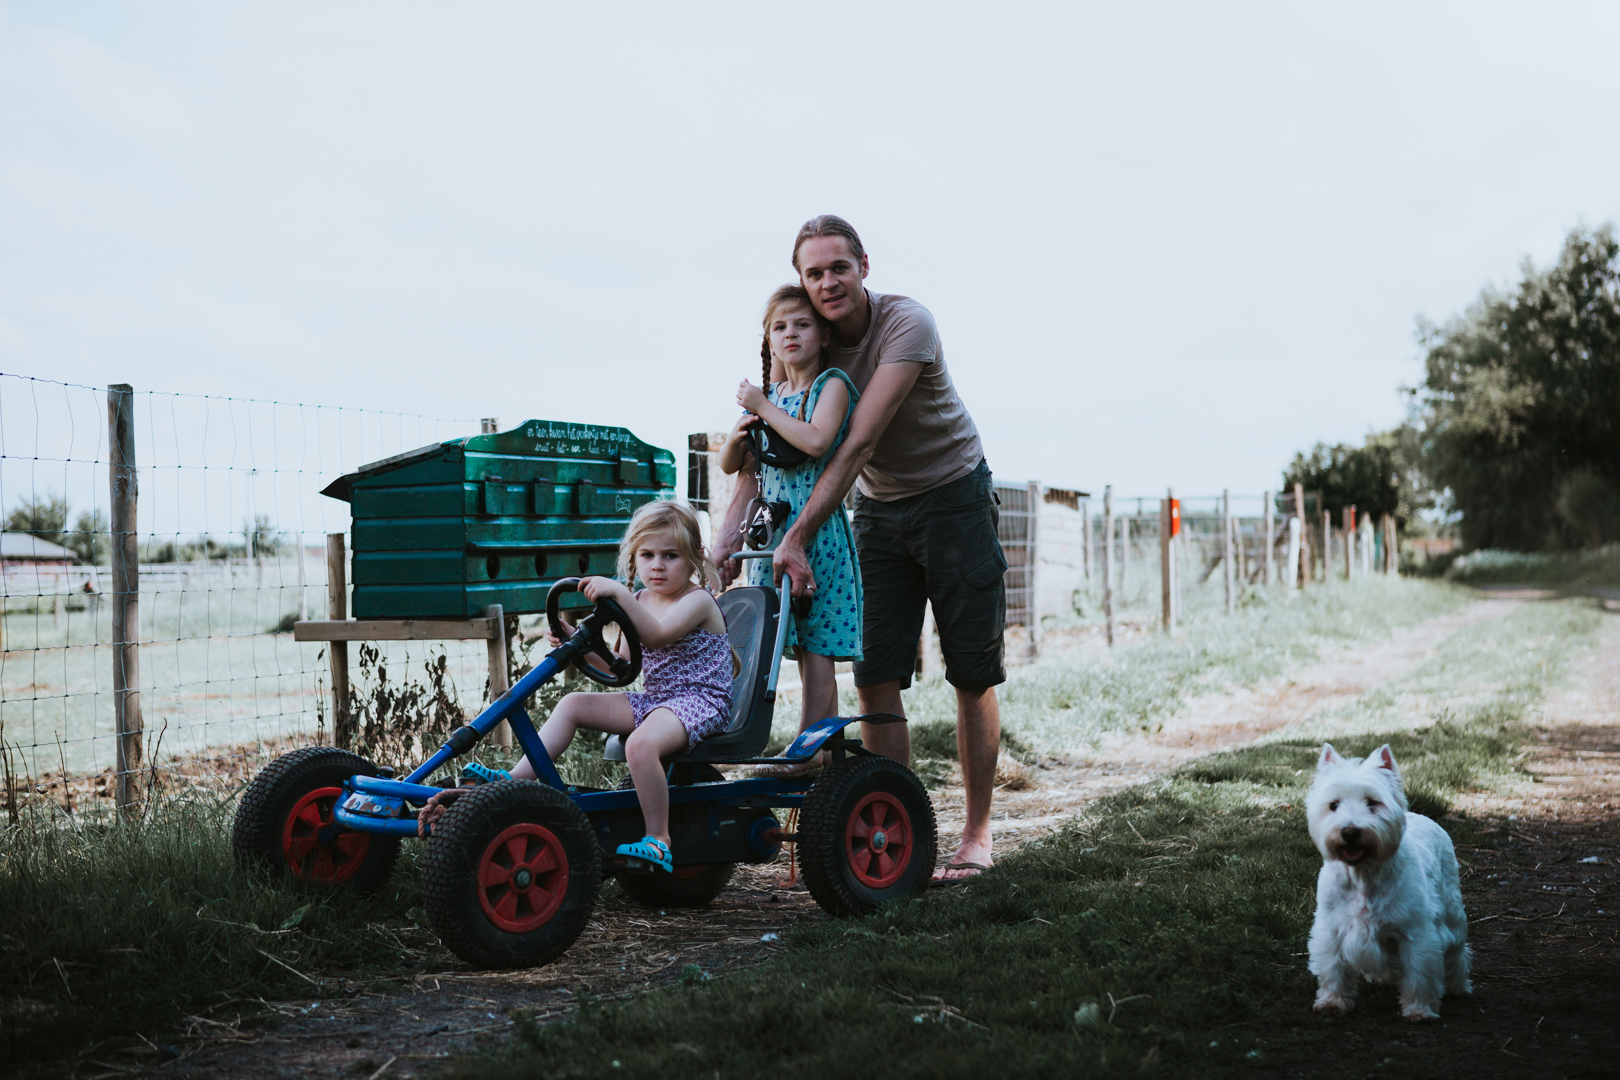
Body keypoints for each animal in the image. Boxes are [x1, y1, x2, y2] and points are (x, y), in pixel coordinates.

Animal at [1302, 744, 1470, 1023]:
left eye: (1372, 802)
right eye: (1333, 805)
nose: (1349, 831)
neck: (1363, 875)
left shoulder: (1417, 933)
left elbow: (1419, 973)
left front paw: (1419, 1010)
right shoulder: (1331, 929)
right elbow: (1333, 970)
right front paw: (1332, 1003)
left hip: (1452, 910)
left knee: (1457, 950)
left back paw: (1459, 986)